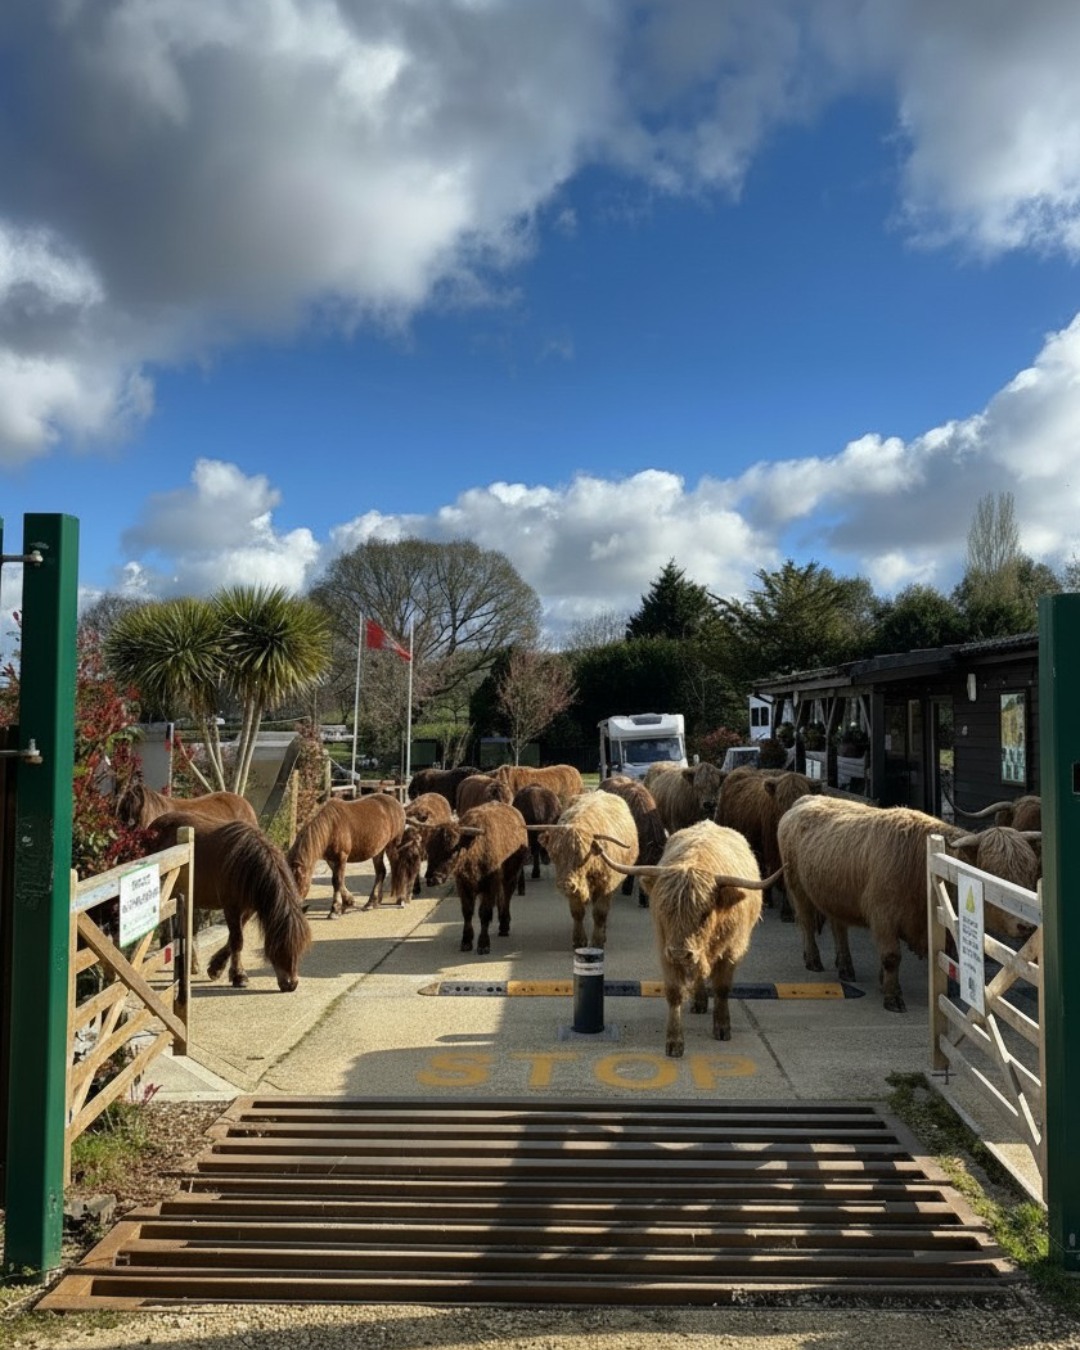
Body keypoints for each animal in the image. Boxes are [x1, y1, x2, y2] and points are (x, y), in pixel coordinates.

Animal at [143, 812, 311, 991]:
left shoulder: (248, 909)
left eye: (300, 946)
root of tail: (155, 825)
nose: (291, 984)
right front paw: (238, 976)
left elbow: (233, 938)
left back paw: (193, 964)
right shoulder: (231, 907)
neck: (247, 864)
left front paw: (217, 968)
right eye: (279, 945)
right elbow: (237, 940)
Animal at [540, 792, 638, 950]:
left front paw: (598, 941)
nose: (565, 884)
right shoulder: (575, 890)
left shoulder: (607, 886)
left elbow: (600, 913)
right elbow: (577, 913)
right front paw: (579, 940)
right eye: (554, 854)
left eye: (581, 855)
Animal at [595, 821, 778, 1058]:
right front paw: (674, 1041)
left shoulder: (731, 951)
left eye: (705, 914)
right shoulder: (665, 949)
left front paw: (722, 1026)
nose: (681, 953)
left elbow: (722, 988)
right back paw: (699, 1001)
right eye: (664, 910)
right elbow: (674, 993)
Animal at [777, 795, 1042, 1013]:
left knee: (838, 927)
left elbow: (947, 957)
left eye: (1028, 872)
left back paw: (845, 967)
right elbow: (891, 956)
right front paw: (892, 996)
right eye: (992, 873)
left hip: (833, 895)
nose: (1026, 926)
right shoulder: (883, 916)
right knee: (806, 923)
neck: (920, 864)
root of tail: (804, 799)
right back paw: (813, 960)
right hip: (797, 887)